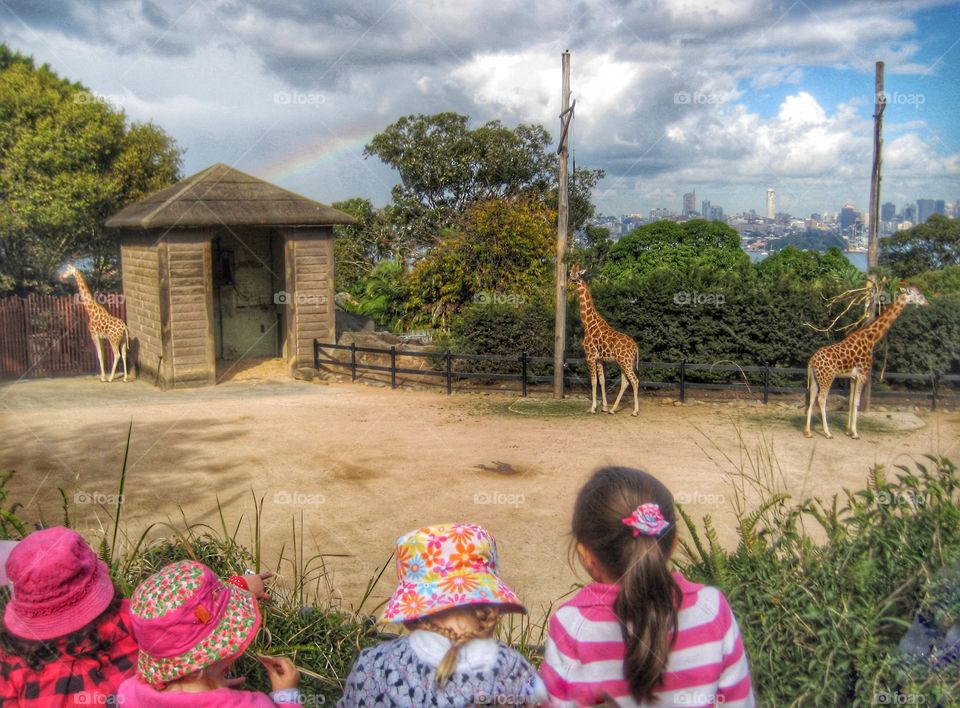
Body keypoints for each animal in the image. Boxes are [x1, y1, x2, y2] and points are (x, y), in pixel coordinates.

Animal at [568, 266, 640, 420]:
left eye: (577, 274)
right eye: (570, 272)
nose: (571, 280)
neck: (587, 324)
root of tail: (636, 347)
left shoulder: (589, 356)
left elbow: (593, 381)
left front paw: (593, 408)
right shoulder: (600, 359)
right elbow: (602, 381)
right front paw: (605, 407)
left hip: (625, 362)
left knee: (634, 381)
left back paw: (635, 411)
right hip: (623, 362)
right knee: (625, 382)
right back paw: (613, 409)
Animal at [804, 284, 928, 440]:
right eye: (918, 294)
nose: (927, 303)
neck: (871, 340)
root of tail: (812, 361)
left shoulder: (852, 376)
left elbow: (851, 401)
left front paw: (848, 431)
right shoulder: (863, 374)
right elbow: (857, 402)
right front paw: (855, 433)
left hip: (815, 378)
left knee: (812, 397)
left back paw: (808, 432)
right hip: (827, 377)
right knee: (821, 399)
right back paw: (828, 433)